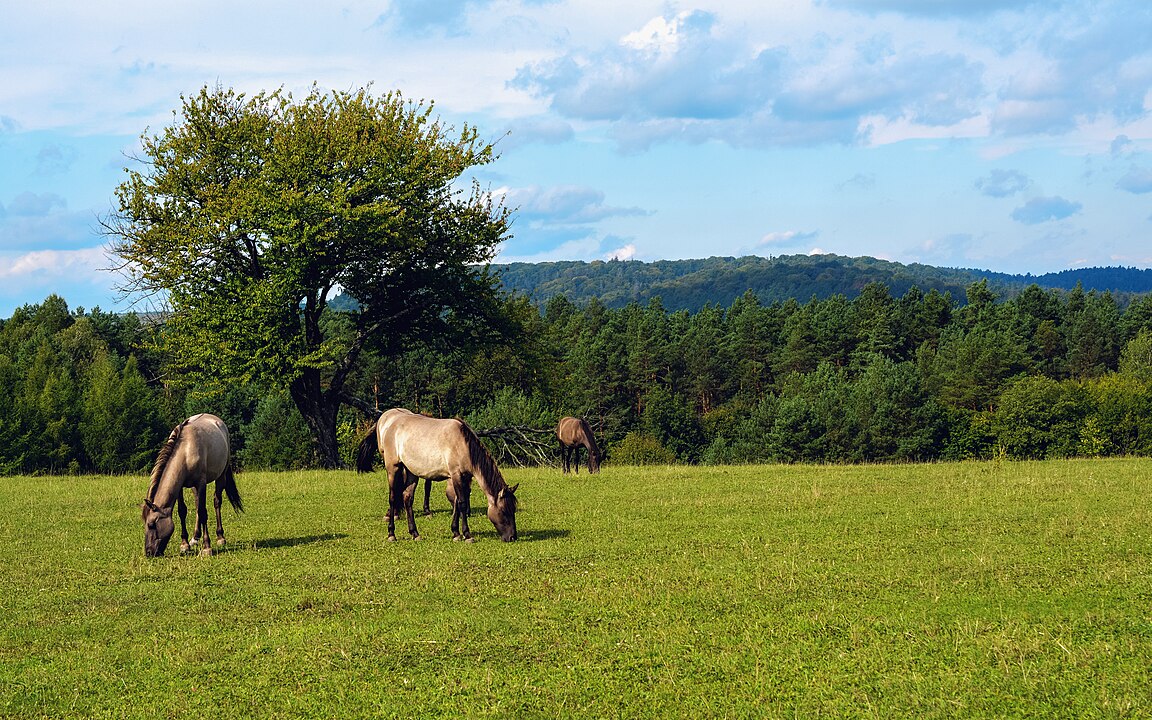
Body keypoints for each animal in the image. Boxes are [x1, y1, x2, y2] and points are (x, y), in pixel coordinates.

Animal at [142, 412, 244, 559]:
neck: (186, 451)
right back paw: (195, 537)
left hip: (221, 476)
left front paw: (207, 547)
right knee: (197, 504)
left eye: (151, 525)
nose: (149, 552)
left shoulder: (201, 483)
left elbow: (203, 512)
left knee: (217, 502)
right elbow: (182, 511)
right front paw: (185, 544)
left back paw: (220, 537)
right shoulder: (180, 487)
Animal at [352, 407, 520, 541]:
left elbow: (456, 503)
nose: (512, 537)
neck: (463, 445)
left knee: (407, 498)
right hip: (393, 468)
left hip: (411, 472)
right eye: (504, 511)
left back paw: (415, 533)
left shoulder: (462, 478)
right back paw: (392, 534)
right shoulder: (456, 475)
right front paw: (467, 535)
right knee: (393, 498)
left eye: (514, 510)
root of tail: (390, 421)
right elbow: (462, 503)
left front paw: (455, 533)